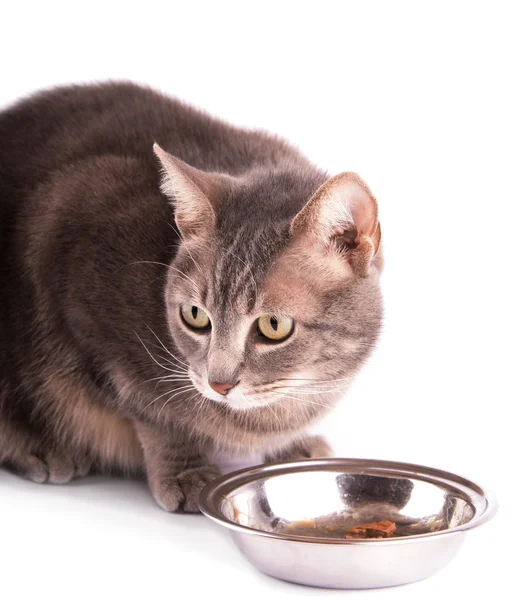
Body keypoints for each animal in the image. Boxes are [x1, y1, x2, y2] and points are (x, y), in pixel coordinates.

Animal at [0, 79, 380, 510]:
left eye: (274, 325)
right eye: (195, 316)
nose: (219, 385)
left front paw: (294, 450)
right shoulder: (71, 240)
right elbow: (154, 409)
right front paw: (186, 470)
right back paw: (41, 448)